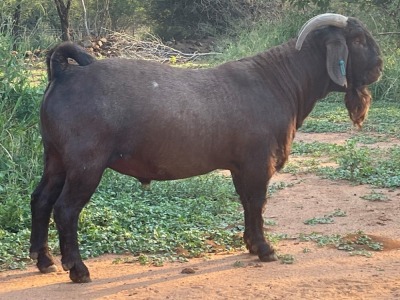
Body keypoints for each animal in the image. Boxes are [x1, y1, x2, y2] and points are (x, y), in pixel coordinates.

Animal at [30, 12, 382, 282]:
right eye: (358, 40)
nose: (379, 67)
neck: (279, 82)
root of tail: (65, 72)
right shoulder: (258, 162)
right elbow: (257, 202)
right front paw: (265, 250)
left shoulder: (241, 166)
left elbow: (247, 203)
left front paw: (251, 244)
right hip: (85, 163)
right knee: (65, 209)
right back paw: (77, 269)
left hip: (55, 157)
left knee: (41, 199)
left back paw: (43, 260)